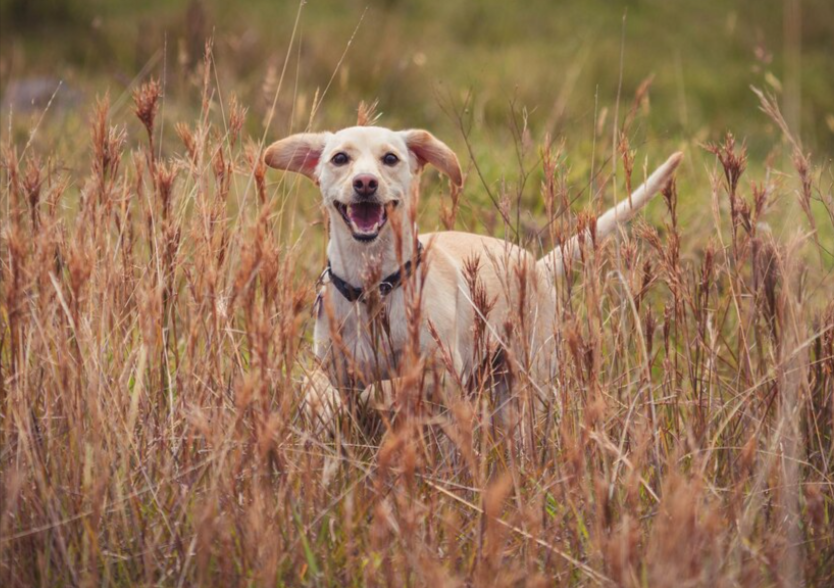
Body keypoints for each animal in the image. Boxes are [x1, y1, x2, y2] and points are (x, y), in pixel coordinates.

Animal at [264, 125, 680, 428]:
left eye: (390, 158)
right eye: (339, 158)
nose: (365, 182)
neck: (373, 289)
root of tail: (535, 262)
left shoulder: (442, 385)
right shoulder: (344, 380)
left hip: (527, 380)